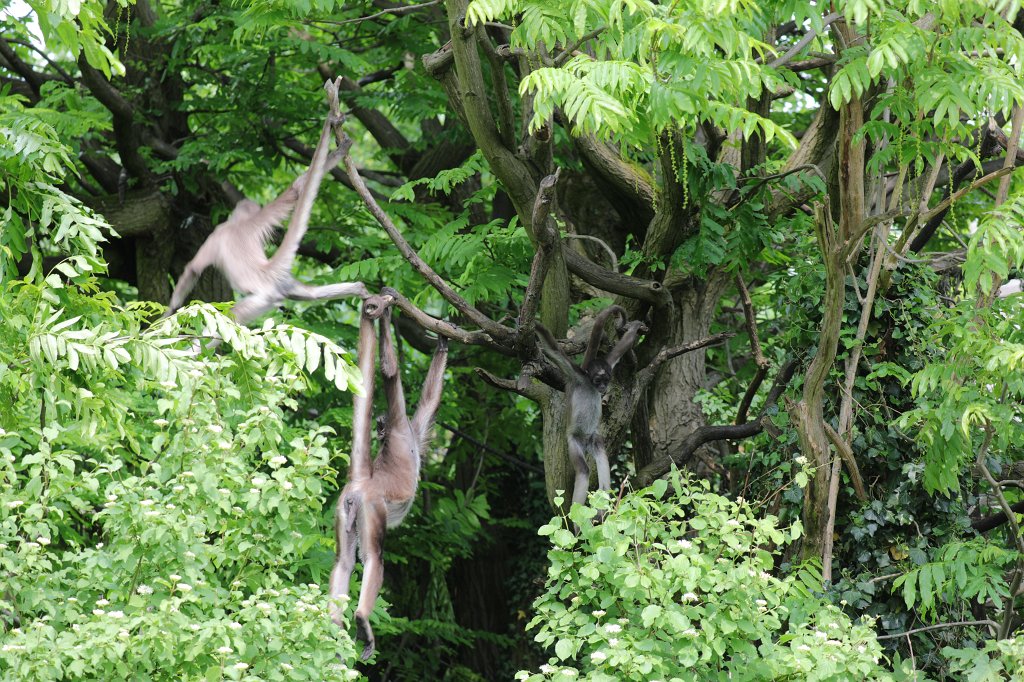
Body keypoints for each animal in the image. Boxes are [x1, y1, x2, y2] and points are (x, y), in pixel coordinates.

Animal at [164, 81, 367, 326]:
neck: (240, 224)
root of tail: (267, 271)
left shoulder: (216, 234)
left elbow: (193, 269)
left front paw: (167, 312)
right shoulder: (261, 217)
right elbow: (297, 188)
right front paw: (338, 151)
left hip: (262, 298)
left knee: (231, 316)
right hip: (287, 284)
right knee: (311, 294)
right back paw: (361, 289)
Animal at [329, 288, 448, 661]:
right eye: (380, 425)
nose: (379, 429)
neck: (400, 436)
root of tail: (364, 480)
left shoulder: (413, 429)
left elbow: (429, 400)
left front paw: (442, 342)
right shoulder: (402, 424)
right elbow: (390, 371)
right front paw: (388, 312)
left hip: (346, 509)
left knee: (342, 563)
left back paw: (333, 631)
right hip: (372, 506)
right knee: (372, 559)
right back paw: (361, 620)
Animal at [535, 305, 646, 509]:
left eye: (606, 380)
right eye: (598, 380)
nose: (602, 388)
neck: (587, 383)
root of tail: (586, 441)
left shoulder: (609, 361)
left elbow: (622, 346)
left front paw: (634, 328)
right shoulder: (576, 375)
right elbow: (553, 349)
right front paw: (534, 324)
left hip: (595, 440)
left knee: (603, 468)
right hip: (574, 441)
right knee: (583, 471)